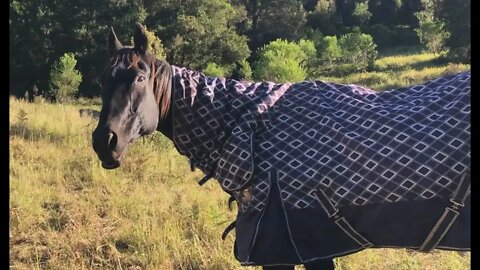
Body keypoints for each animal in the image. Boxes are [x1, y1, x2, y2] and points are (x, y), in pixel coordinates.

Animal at [92, 23, 470, 270]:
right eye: (102, 80)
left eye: (140, 78)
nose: (104, 142)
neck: (245, 126)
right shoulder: (312, 250)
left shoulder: (285, 252)